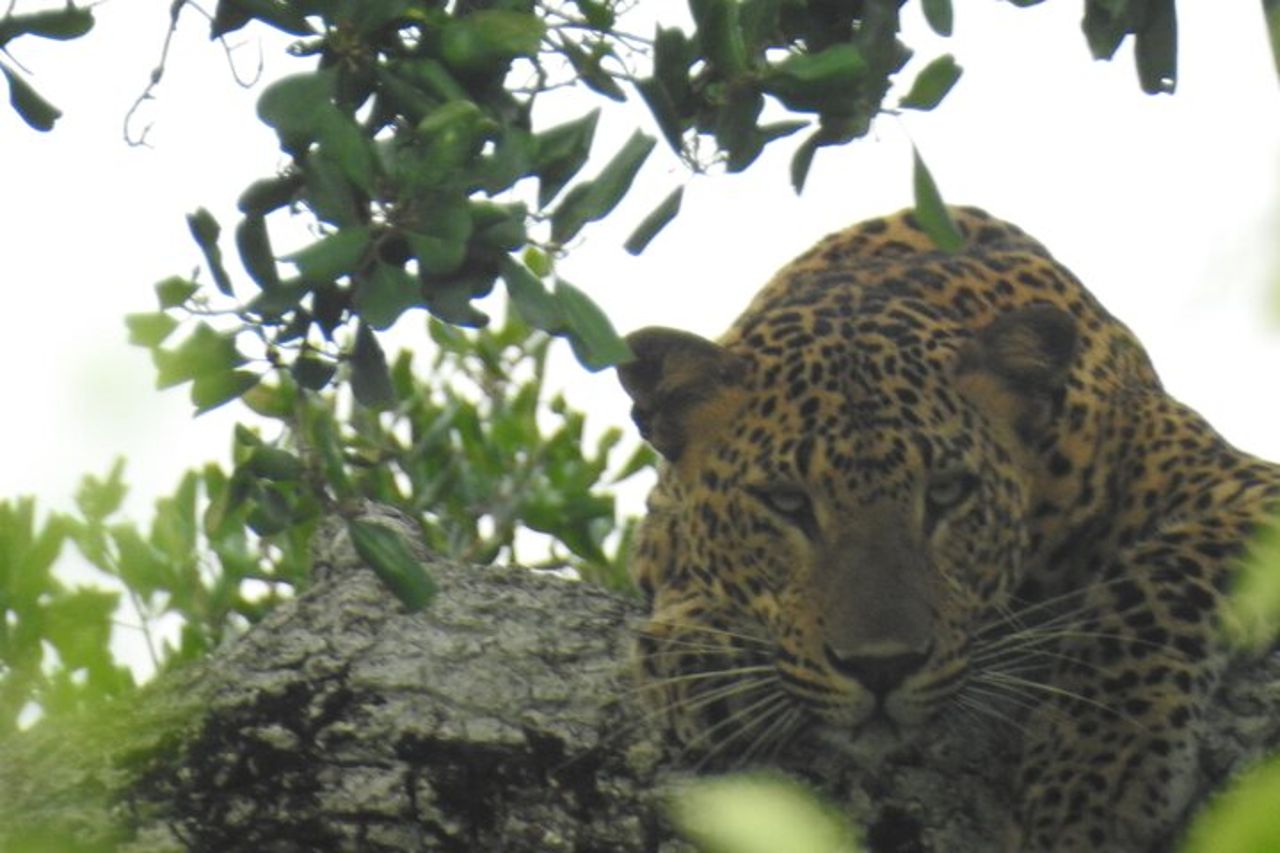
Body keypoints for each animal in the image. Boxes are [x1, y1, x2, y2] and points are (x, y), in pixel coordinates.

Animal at [614, 206, 1280, 851]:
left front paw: (1097, 767)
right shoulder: (661, 521)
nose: (881, 668)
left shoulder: (1241, 485)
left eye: (947, 492)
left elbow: (1154, 586)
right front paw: (700, 651)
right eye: (786, 502)